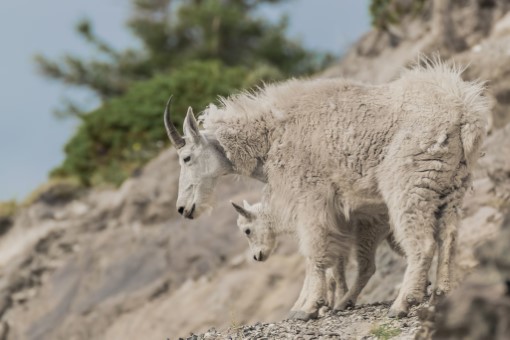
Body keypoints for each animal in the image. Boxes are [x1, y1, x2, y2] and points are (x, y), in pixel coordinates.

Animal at [164, 59, 490, 318]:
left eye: (186, 157)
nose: (183, 208)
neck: (270, 137)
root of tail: (465, 114)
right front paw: (314, 305)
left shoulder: (310, 199)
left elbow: (314, 253)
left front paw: (308, 308)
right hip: (451, 186)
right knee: (448, 238)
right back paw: (439, 295)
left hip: (409, 185)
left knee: (421, 243)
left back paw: (401, 304)